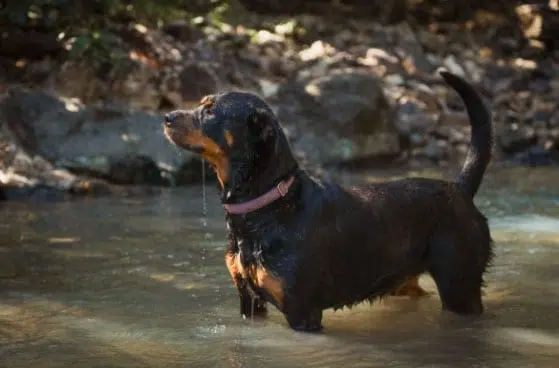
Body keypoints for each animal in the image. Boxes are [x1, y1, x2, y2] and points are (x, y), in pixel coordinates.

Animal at [163, 70, 494, 332]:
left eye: (210, 111)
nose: (166, 117)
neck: (265, 207)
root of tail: (459, 189)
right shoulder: (249, 302)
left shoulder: (302, 312)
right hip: (407, 282)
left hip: (460, 287)